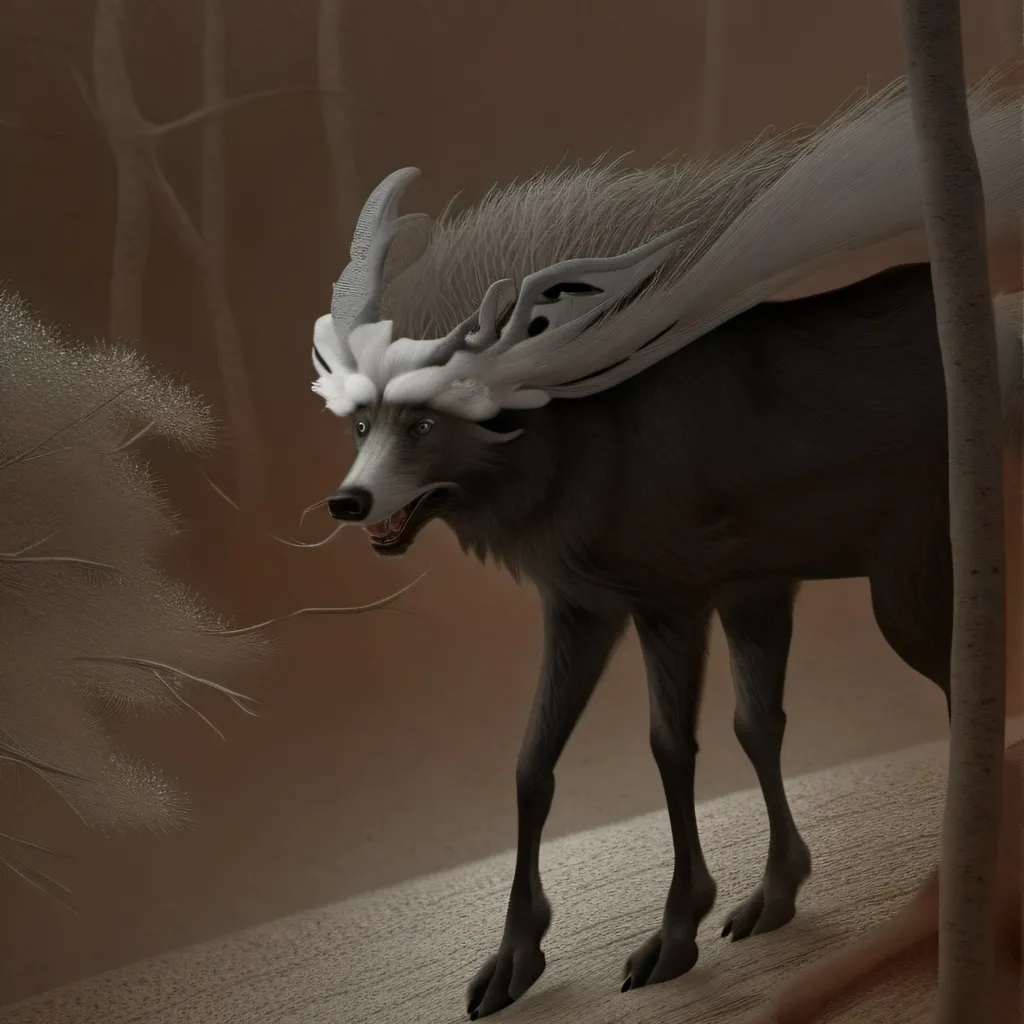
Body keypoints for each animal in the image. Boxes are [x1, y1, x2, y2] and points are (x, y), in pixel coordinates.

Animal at [307, 69, 1023, 1019]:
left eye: (426, 422)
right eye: (362, 421)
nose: (349, 502)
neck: (568, 466)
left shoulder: (672, 599)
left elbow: (670, 748)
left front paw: (678, 930)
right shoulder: (613, 602)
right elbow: (548, 760)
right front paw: (518, 958)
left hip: (913, 573)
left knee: (965, 690)